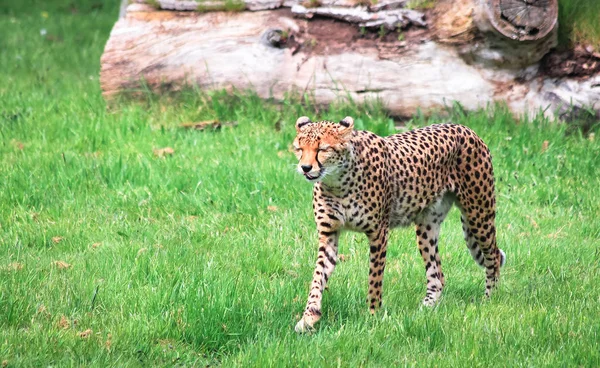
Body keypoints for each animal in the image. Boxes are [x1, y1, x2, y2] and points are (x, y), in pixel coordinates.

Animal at [292, 115, 504, 334]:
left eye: (322, 149)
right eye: (299, 148)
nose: (305, 168)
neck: (337, 182)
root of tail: (464, 127)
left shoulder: (378, 233)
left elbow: (374, 279)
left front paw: (373, 316)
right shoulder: (329, 235)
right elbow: (318, 278)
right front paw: (309, 317)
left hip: (479, 214)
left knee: (494, 256)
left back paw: (489, 299)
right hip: (427, 226)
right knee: (437, 274)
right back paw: (425, 309)